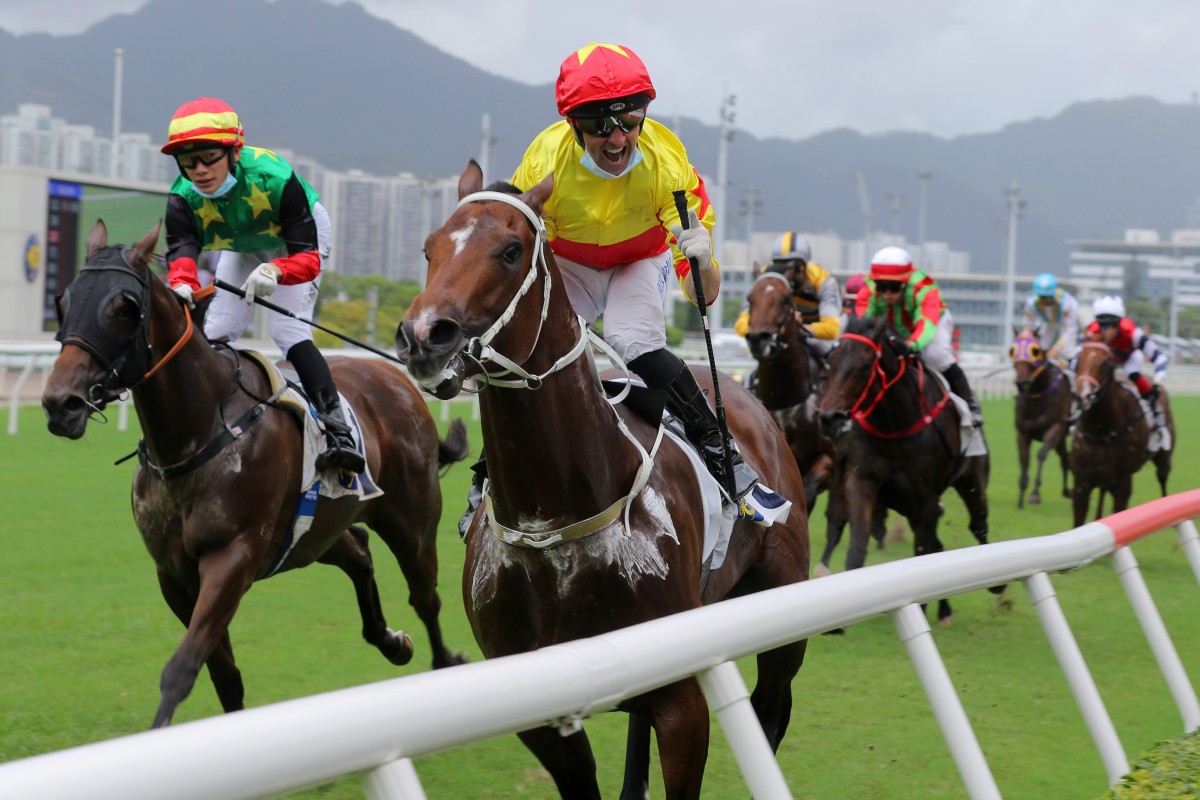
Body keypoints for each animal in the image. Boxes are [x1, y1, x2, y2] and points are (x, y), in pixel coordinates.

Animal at [38, 220, 468, 734]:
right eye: (63, 301)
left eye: (124, 307)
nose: (61, 403)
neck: (198, 431)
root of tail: (399, 380)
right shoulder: (174, 574)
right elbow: (223, 676)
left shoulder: (231, 559)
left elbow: (182, 668)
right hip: (314, 532)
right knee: (359, 552)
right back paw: (391, 641)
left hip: (411, 520)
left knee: (425, 595)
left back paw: (445, 660)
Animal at [391, 164, 806, 800]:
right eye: (429, 248)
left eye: (511, 251)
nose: (422, 336)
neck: (556, 518)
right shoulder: (542, 713)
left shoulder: (683, 700)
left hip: (783, 617)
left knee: (771, 711)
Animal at [816, 316, 993, 623]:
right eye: (832, 359)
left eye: (866, 364)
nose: (829, 418)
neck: (893, 425)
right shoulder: (861, 482)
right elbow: (857, 547)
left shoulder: (926, 498)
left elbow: (922, 553)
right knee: (937, 546)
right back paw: (944, 609)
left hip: (971, 482)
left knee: (977, 525)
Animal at [1008, 331, 1075, 506]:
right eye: (1012, 350)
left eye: (1034, 351)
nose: (1022, 382)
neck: (1037, 394)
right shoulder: (1022, 433)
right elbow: (1024, 459)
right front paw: (1021, 498)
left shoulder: (1055, 428)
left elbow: (1041, 455)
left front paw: (1035, 494)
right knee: (1065, 458)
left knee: (1066, 459)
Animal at [1070, 343, 1171, 525]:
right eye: (1078, 360)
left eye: (1104, 363)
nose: (1081, 395)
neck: (1101, 431)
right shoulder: (1082, 482)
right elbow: (1078, 522)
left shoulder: (1122, 482)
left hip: (1164, 458)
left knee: (1163, 479)